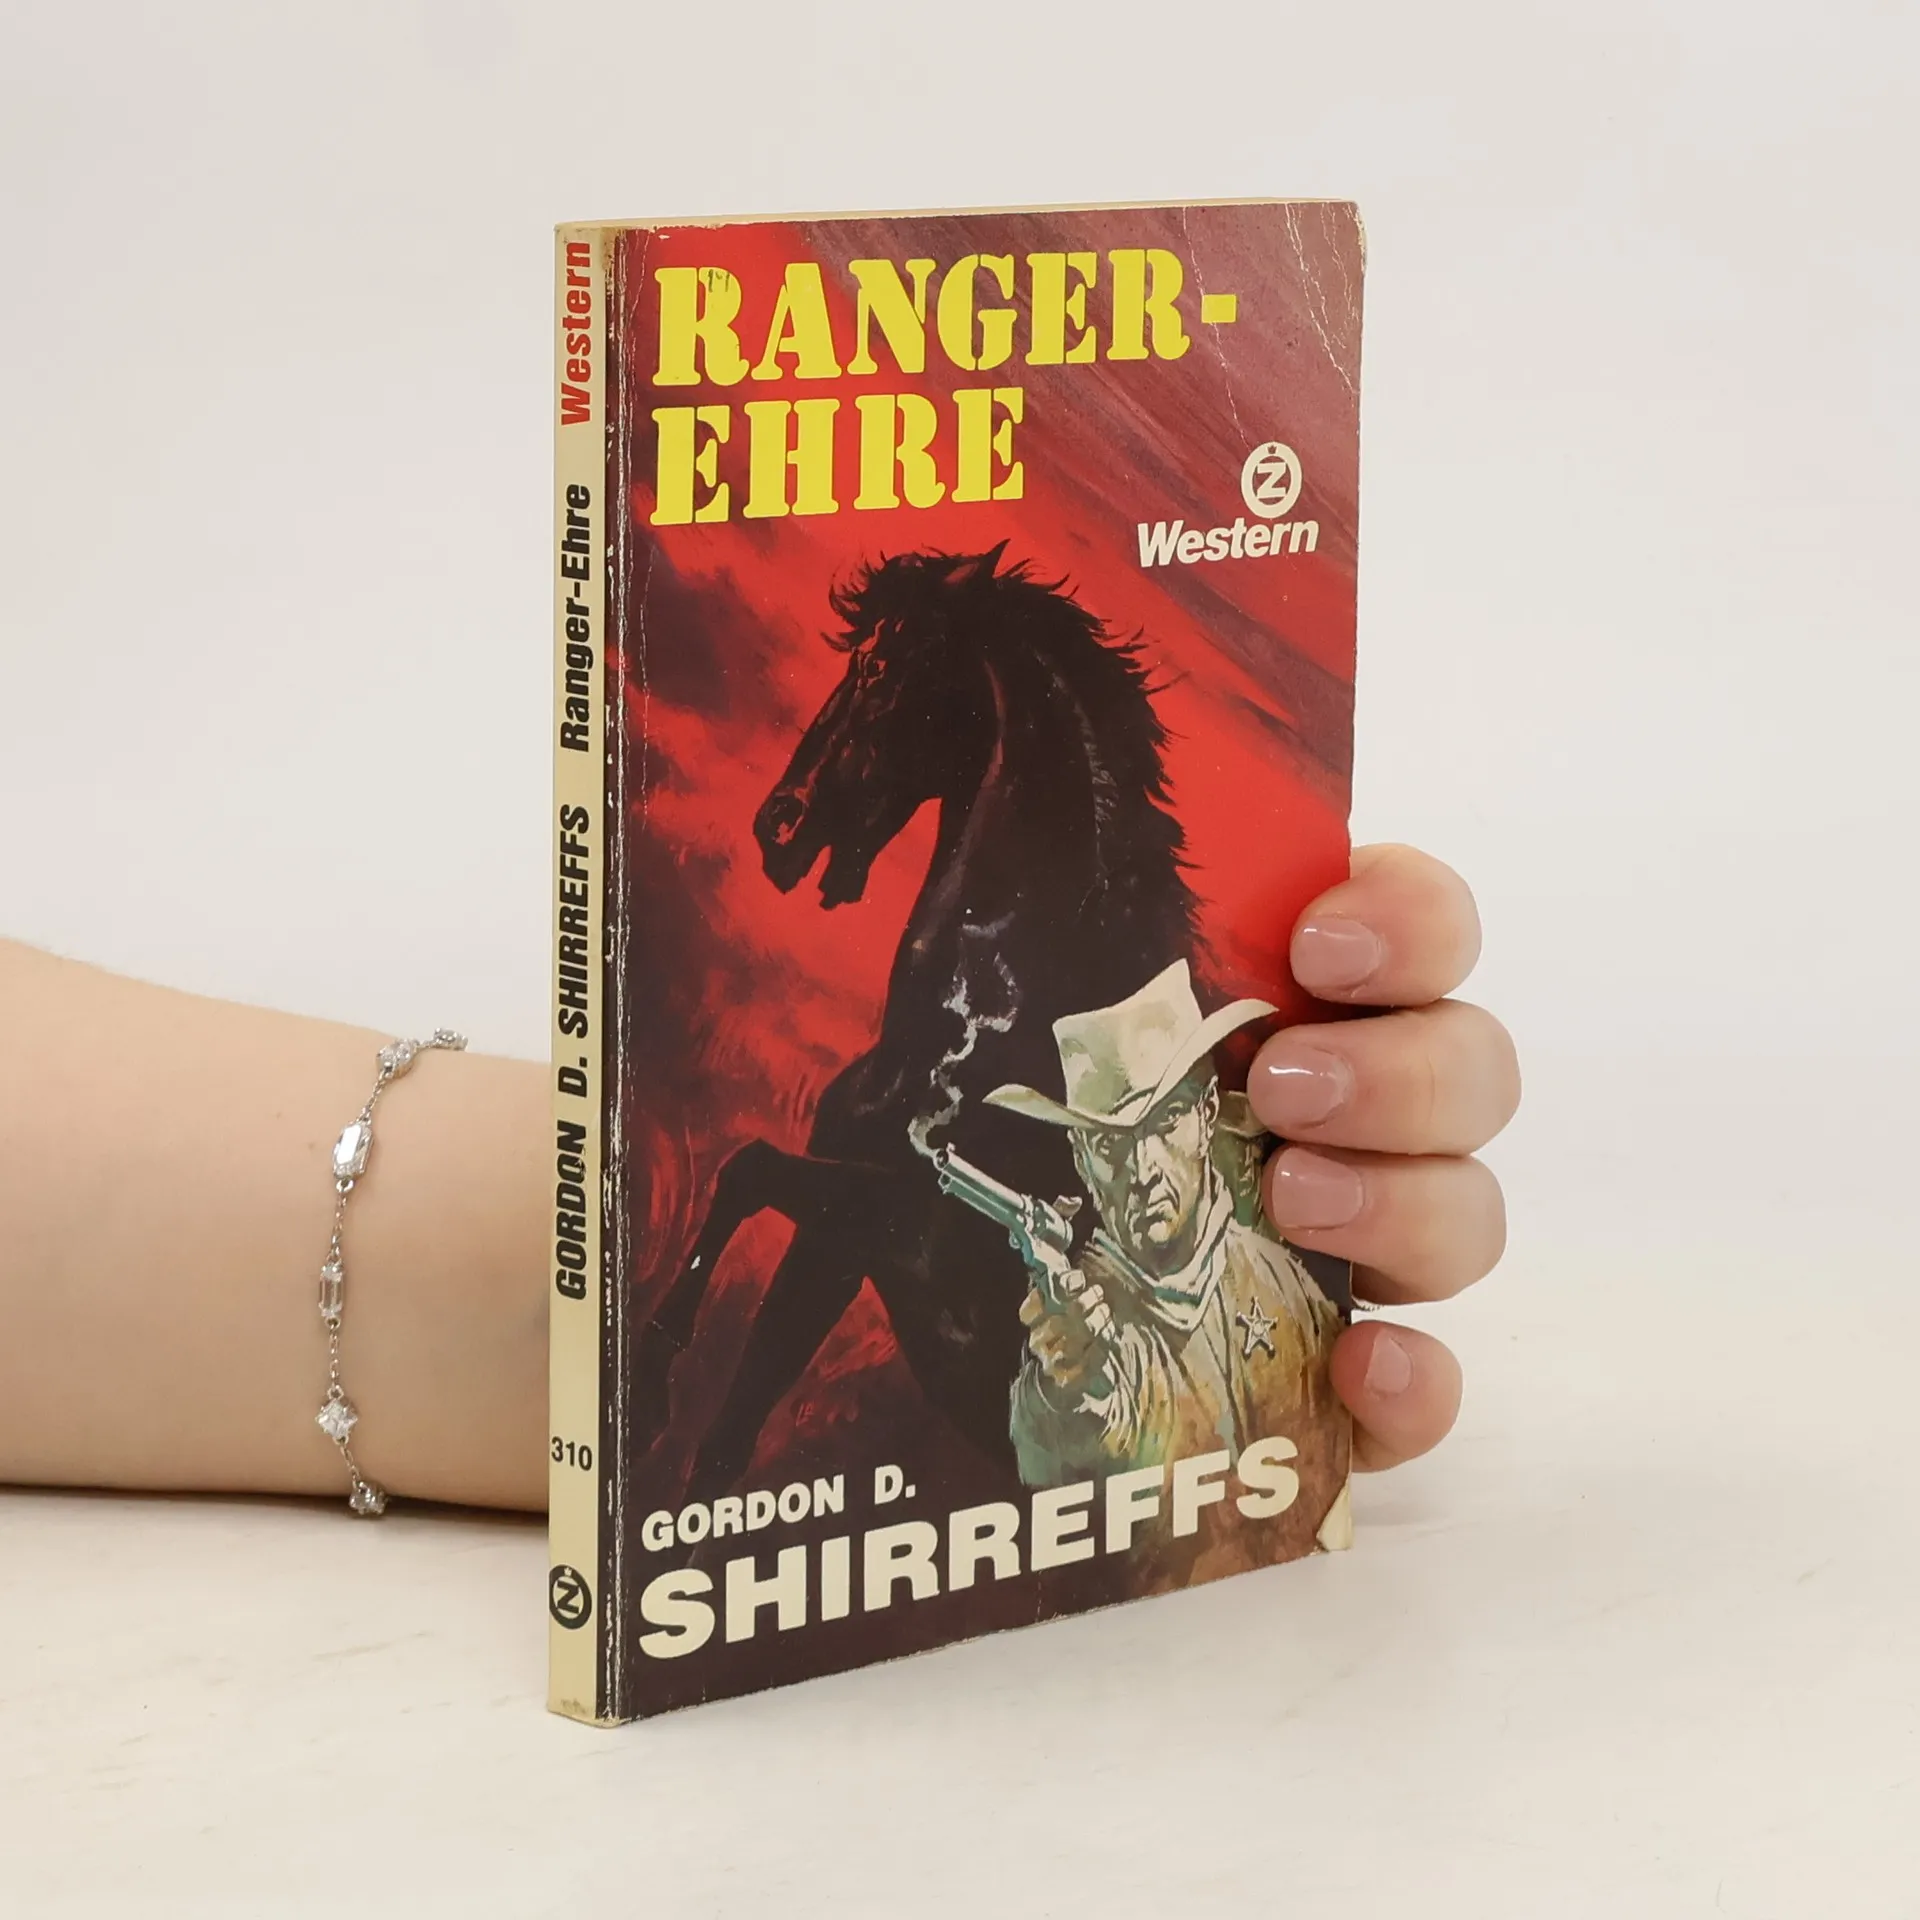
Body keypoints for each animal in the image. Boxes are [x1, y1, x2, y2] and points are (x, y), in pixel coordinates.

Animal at [630, 543, 1199, 1494]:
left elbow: (746, 1167)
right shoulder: (833, 1248)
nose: (777, 824)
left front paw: (647, 1377)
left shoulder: (904, 1235)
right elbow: (729, 1439)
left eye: (877, 668)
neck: (980, 1036)